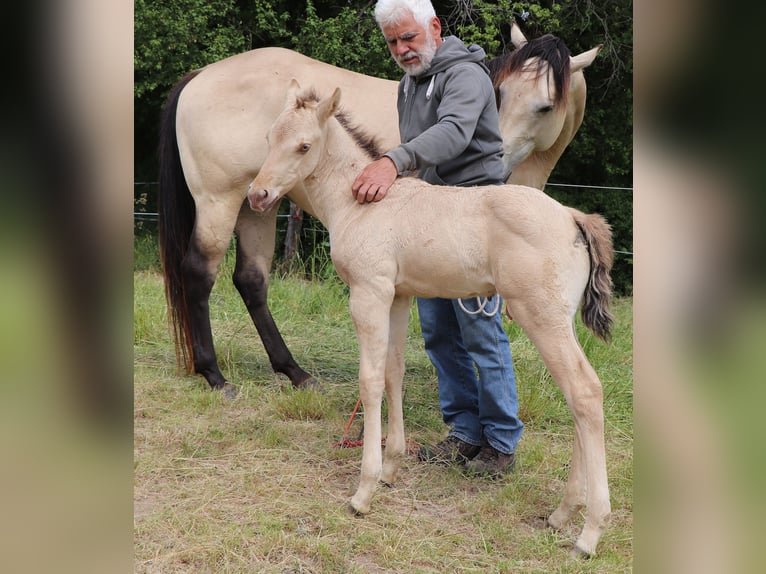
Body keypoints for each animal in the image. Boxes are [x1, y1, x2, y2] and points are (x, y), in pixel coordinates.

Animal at [158, 25, 600, 396]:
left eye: (545, 106)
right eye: (501, 94)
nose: (498, 159)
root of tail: (200, 75)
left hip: (257, 208)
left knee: (251, 281)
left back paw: (294, 371)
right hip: (221, 201)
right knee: (199, 273)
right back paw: (215, 375)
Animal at [249, 80, 616, 560]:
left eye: (304, 145)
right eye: (270, 137)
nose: (257, 195)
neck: (360, 201)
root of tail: (573, 218)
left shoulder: (368, 293)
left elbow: (369, 381)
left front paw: (364, 491)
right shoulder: (399, 297)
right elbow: (393, 372)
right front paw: (391, 467)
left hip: (541, 318)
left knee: (586, 393)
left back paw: (589, 532)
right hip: (558, 322)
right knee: (577, 397)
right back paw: (562, 513)